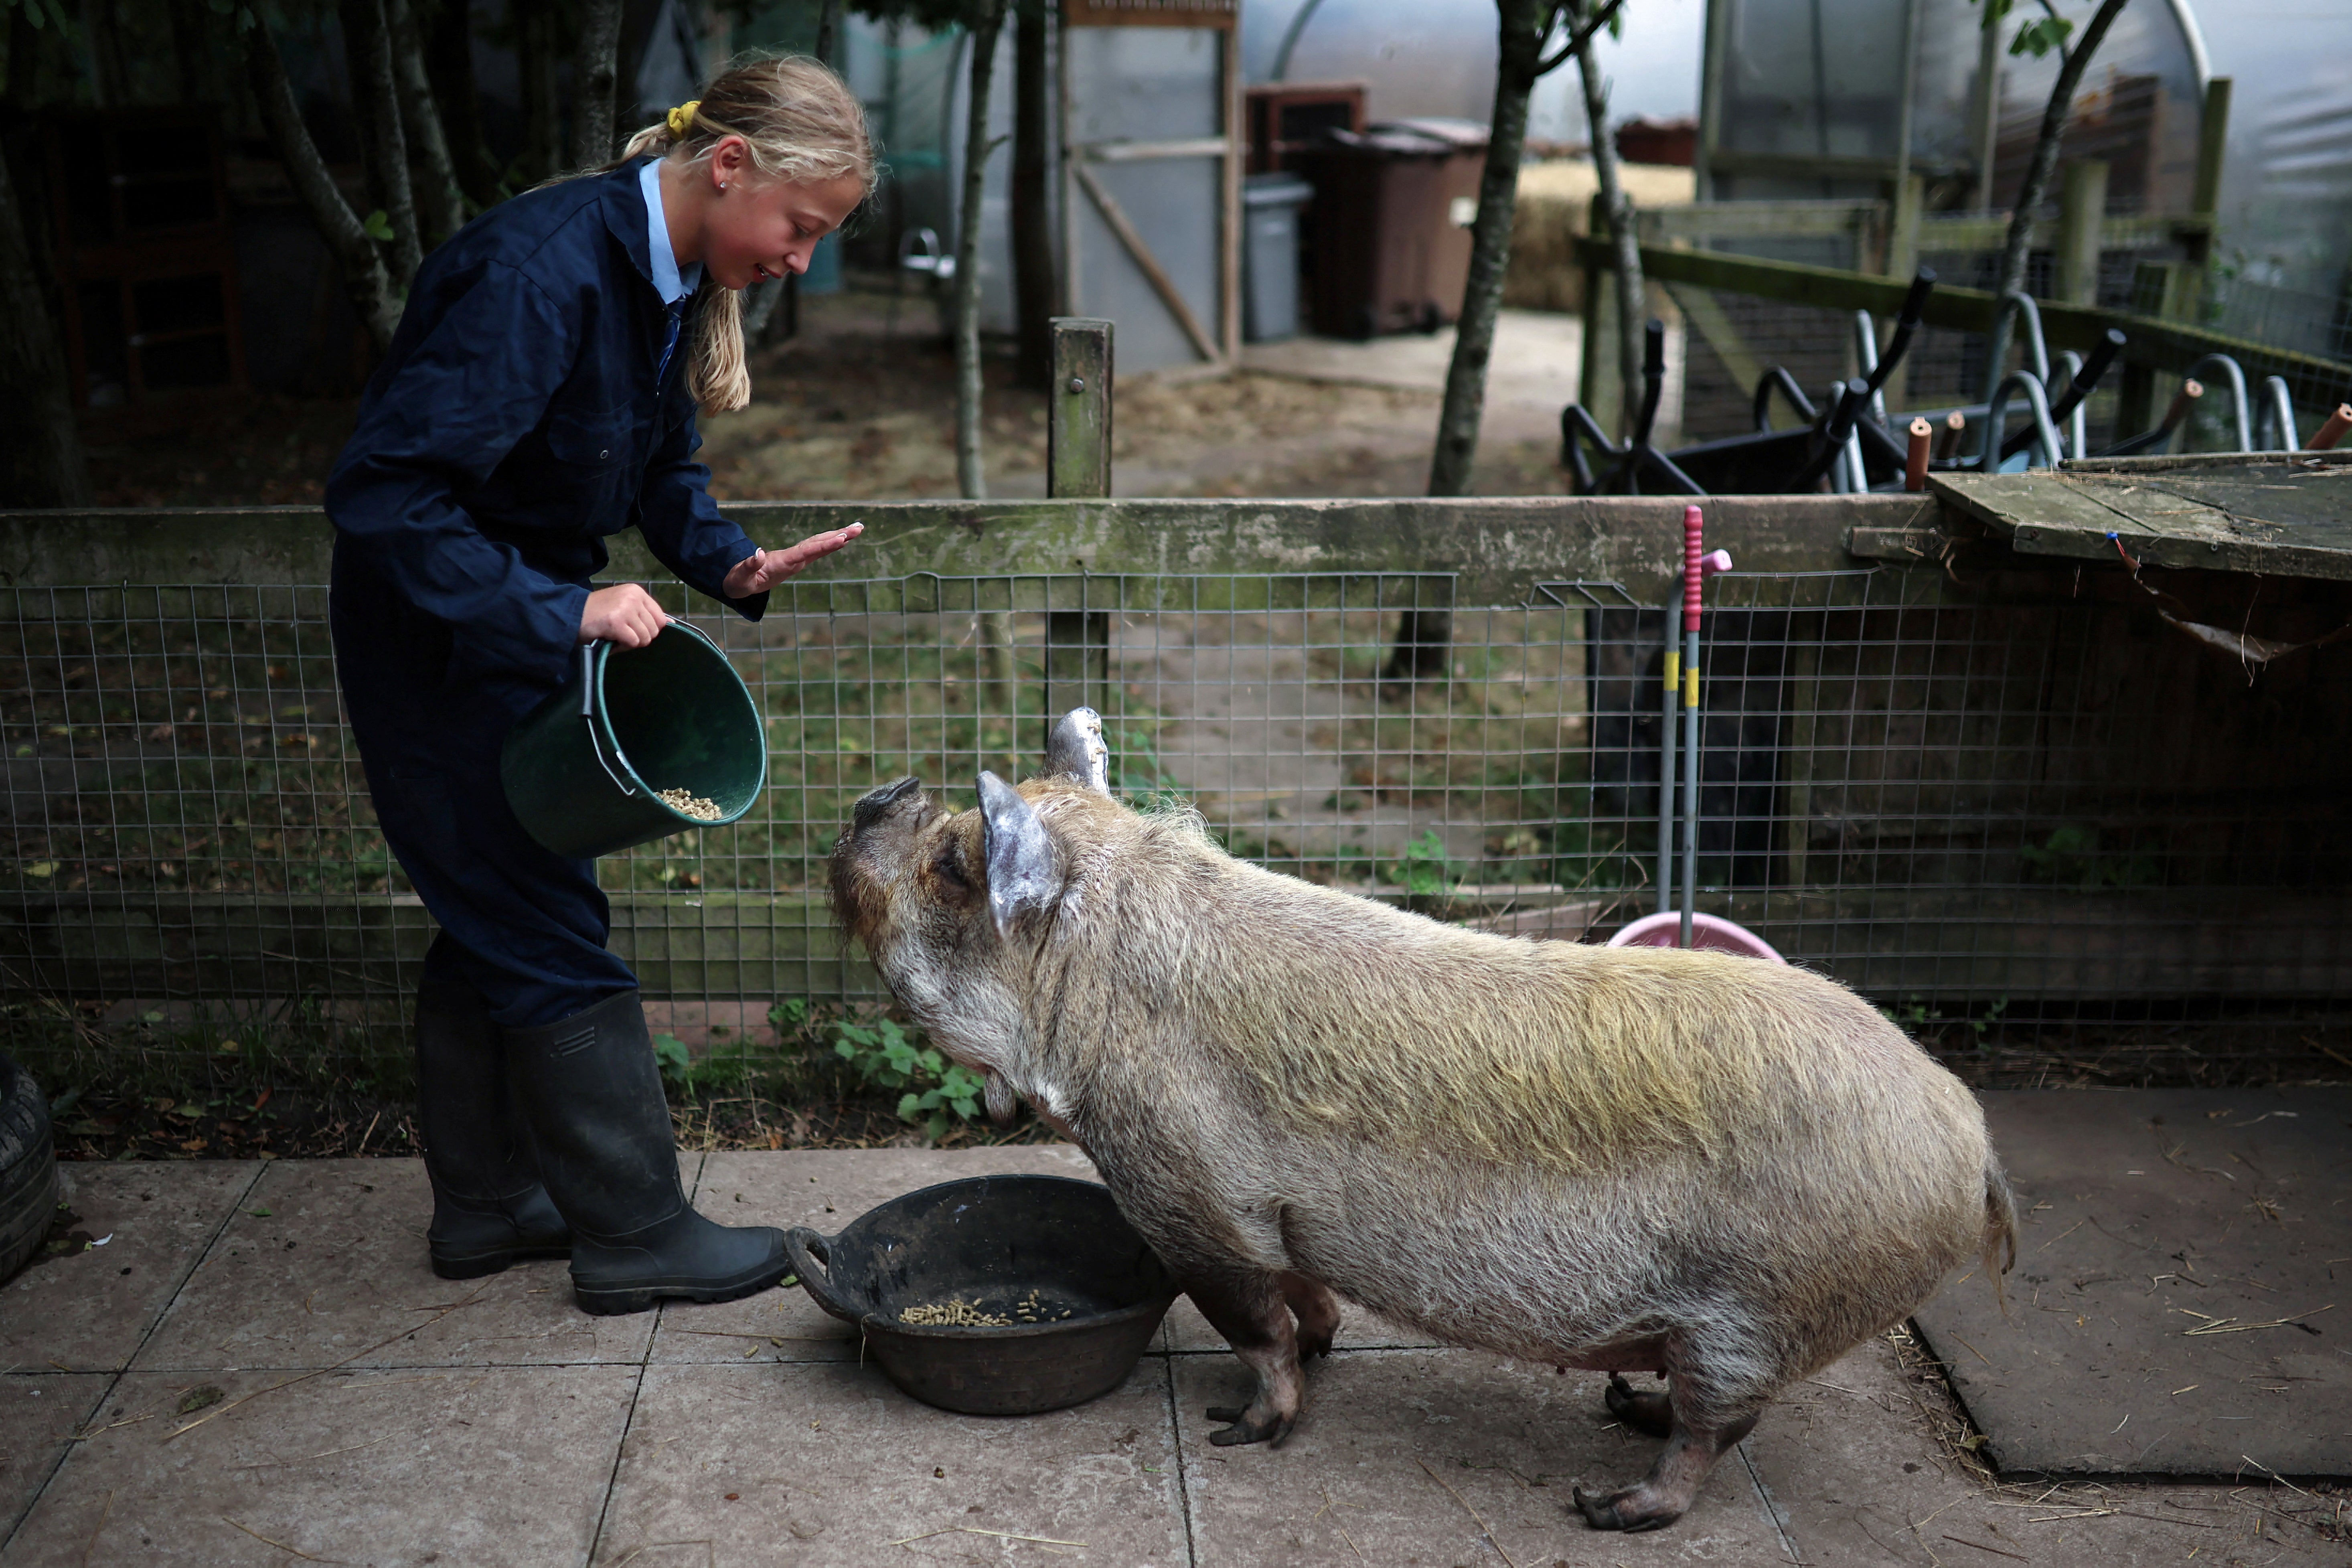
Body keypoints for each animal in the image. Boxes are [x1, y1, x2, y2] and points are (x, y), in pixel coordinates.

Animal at [823, 719, 2004, 1533]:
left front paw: (1239, 1430)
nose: (887, 788)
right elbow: (1304, 1294)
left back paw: (1607, 1505)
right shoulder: (1276, 1217)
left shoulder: (1187, 1197)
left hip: (1759, 1308)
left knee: (1718, 1429)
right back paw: (1625, 1409)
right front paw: (1325, 1341)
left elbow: (1256, 1326)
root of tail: (1972, 1140)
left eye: (953, 864)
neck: (1094, 999)